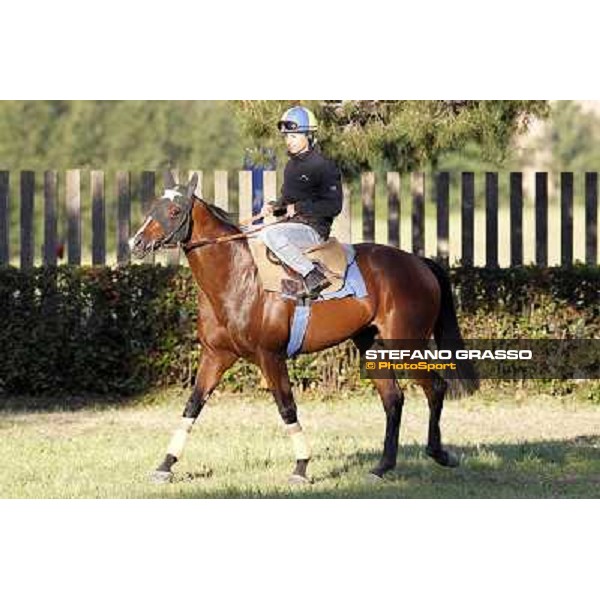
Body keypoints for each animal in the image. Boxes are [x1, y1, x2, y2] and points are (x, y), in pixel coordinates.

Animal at [127, 172, 478, 482]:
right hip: (373, 348)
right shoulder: (216, 356)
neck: (238, 276)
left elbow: (287, 408)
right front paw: (165, 465)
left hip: (406, 345)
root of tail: (419, 263)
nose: (136, 242)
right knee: (393, 399)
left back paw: (438, 453)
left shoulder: (270, 357)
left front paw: (301, 467)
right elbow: (193, 405)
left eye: (174, 211)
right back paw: (382, 466)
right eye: (153, 206)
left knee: (436, 388)